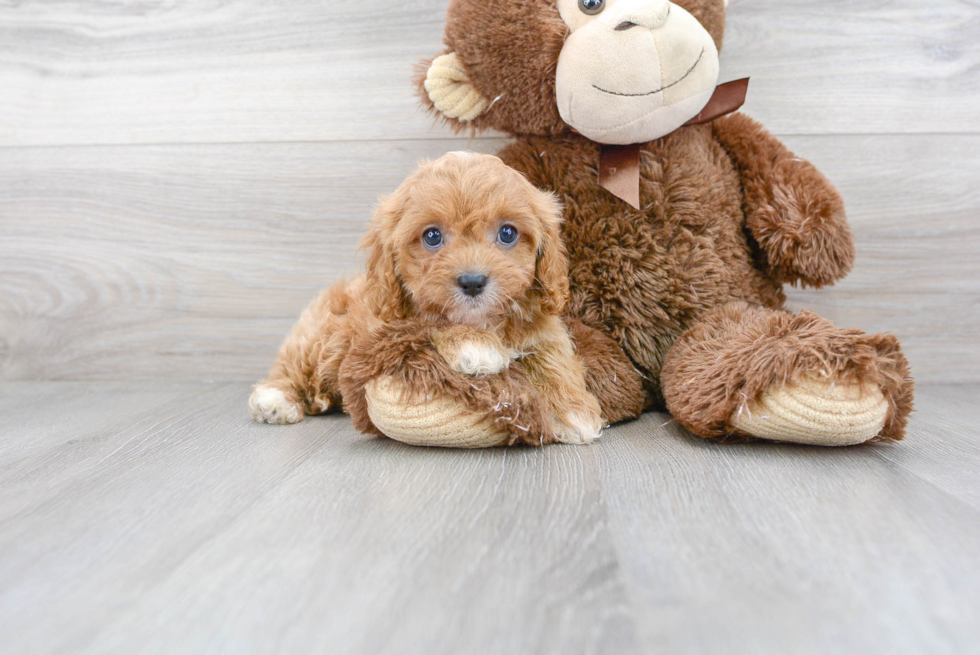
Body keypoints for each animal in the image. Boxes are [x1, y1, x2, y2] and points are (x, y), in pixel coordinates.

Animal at [249, 151, 604, 444]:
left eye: (508, 233)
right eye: (432, 236)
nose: (472, 282)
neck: (486, 320)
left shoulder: (543, 326)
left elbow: (553, 358)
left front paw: (572, 410)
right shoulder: (391, 323)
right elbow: (434, 321)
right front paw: (475, 345)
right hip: (324, 335)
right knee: (297, 365)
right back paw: (274, 399)